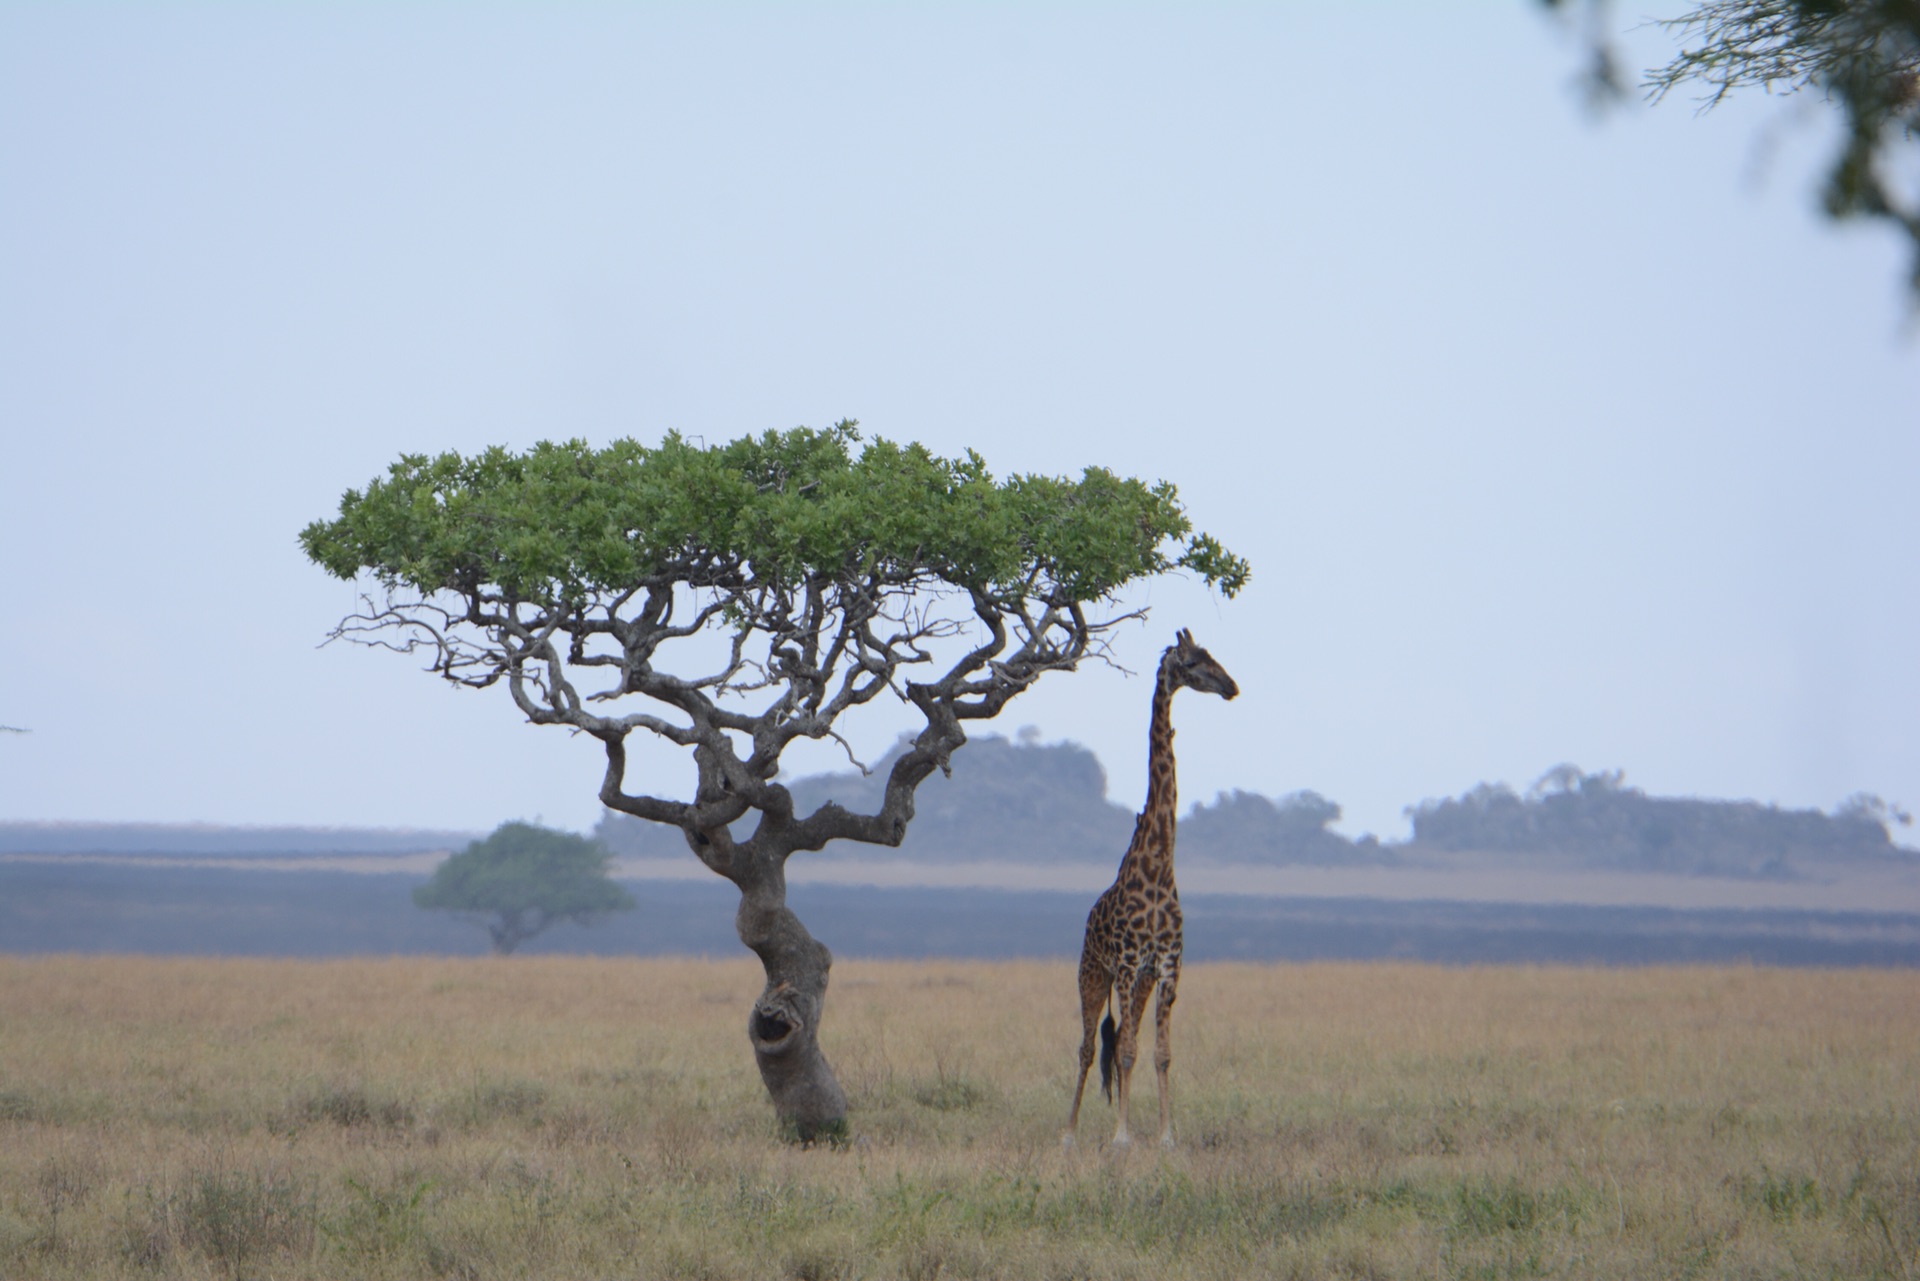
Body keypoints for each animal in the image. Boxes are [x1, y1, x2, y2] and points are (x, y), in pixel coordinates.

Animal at [1059, 626, 1236, 1144]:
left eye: (1213, 655)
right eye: (1194, 662)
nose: (1231, 686)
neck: (1159, 865)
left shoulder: (1167, 967)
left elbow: (1158, 1053)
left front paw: (1164, 1135)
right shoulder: (1127, 963)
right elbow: (1122, 1051)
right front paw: (1121, 1137)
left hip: (1137, 984)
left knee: (1123, 1040)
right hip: (1092, 974)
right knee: (1087, 1047)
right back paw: (1070, 1132)